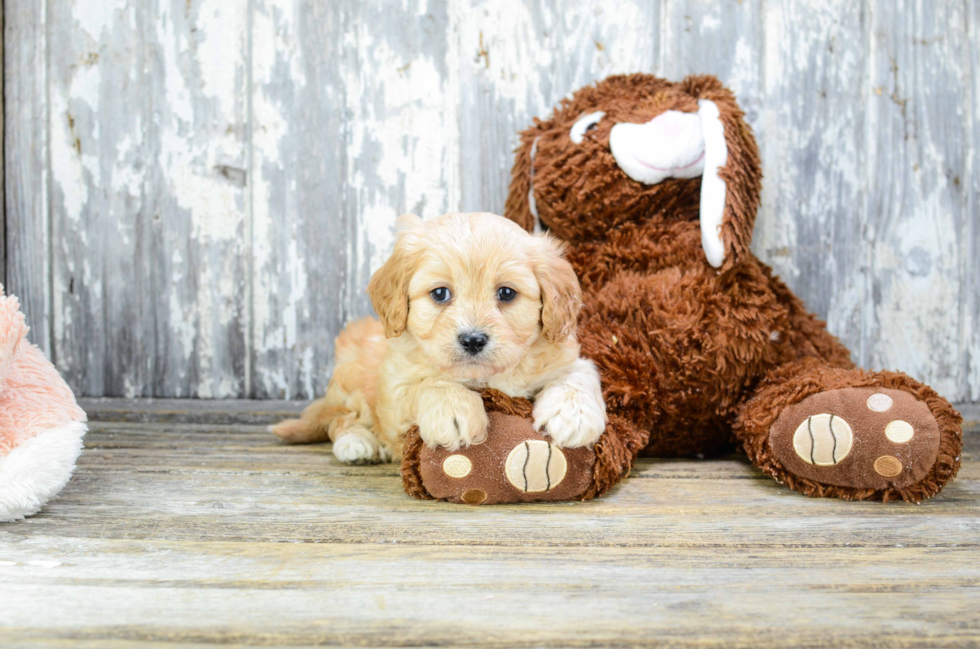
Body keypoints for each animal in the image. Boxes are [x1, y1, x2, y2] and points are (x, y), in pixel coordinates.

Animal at [270, 211, 604, 460]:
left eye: (507, 293)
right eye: (440, 293)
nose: (472, 340)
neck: (485, 378)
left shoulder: (566, 355)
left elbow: (579, 374)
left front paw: (572, 414)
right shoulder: (394, 387)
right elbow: (428, 382)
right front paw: (454, 409)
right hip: (351, 378)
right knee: (341, 419)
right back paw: (357, 444)